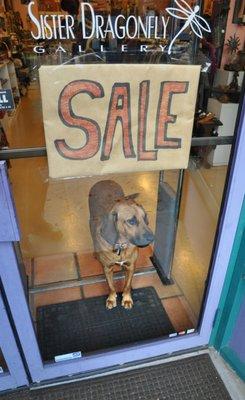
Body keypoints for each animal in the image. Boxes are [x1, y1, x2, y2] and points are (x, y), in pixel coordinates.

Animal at [88, 180, 153, 310]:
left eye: (145, 218)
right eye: (131, 221)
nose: (152, 238)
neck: (121, 246)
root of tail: (105, 181)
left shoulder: (131, 266)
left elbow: (127, 285)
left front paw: (127, 299)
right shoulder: (107, 268)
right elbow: (111, 286)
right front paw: (111, 299)